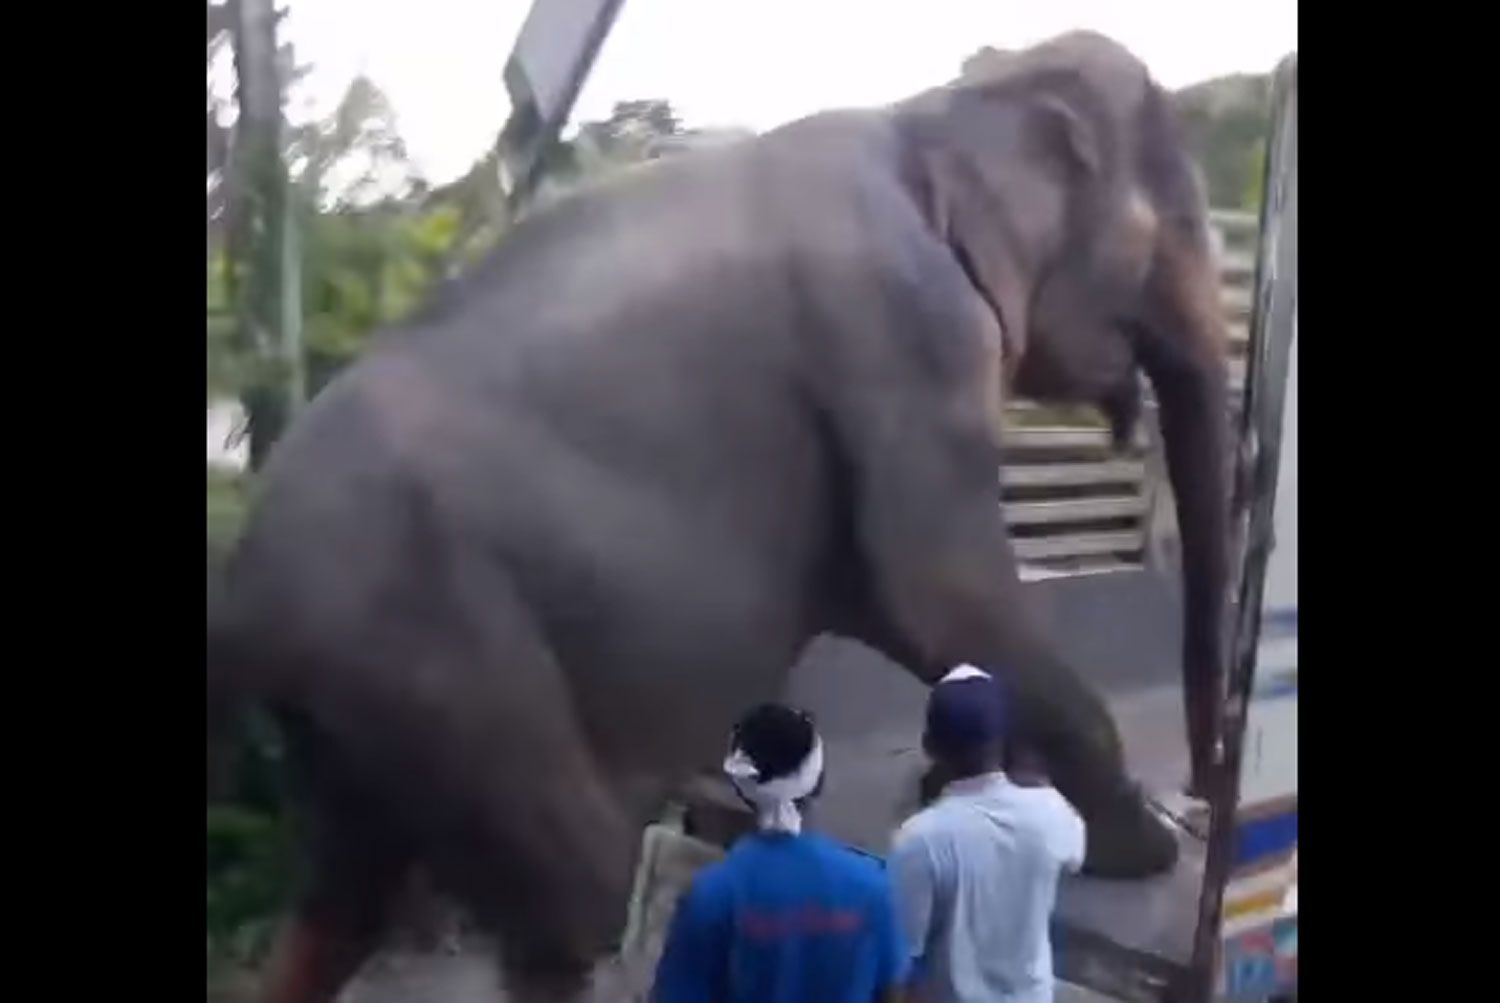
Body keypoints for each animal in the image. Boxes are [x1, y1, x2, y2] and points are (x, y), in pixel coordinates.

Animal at [202, 29, 1230, 1001]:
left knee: (341, 901)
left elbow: (907, 609)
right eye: (1172, 223)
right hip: (440, 656)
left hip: (364, 710)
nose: (1202, 801)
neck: (933, 110)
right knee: (574, 896)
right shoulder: (903, 331)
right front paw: (1142, 848)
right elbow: (938, 589)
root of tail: (240, 594)